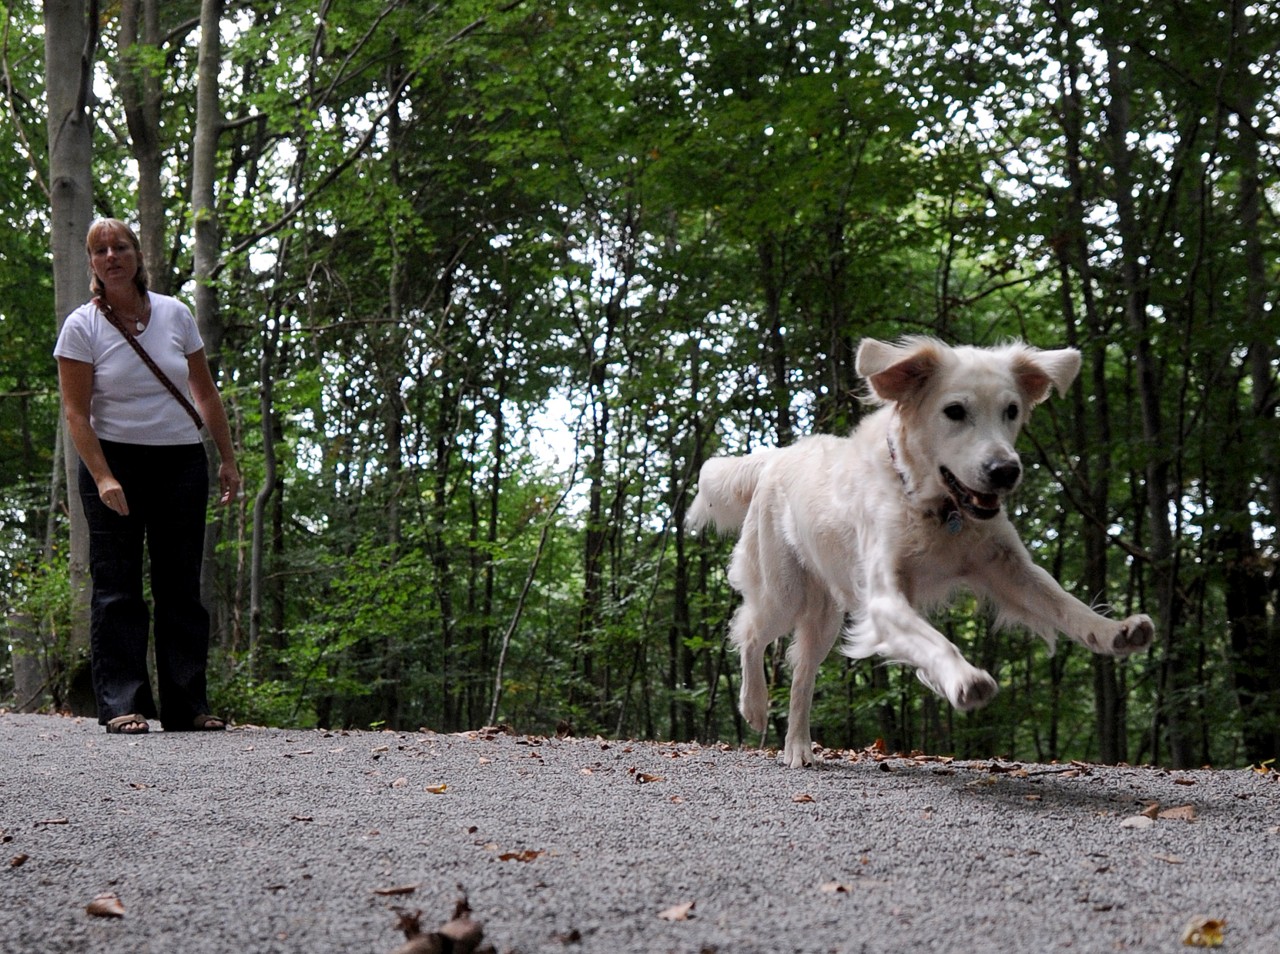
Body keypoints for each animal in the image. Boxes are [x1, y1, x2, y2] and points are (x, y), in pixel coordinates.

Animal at [686, 335, 1157, 768]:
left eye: (1011, 410)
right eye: (955, 411)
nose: (1005, 471)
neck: (937, 507)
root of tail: (777, 456)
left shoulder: (1009, 568)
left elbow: (1066, 605)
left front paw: (1113, 630)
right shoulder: (884, 598)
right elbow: (937, 643)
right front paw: (965, 679)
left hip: (823, 617)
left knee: (802, 675)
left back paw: (798, 748)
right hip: (784, 593)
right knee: (748, 632)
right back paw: (753, 705)